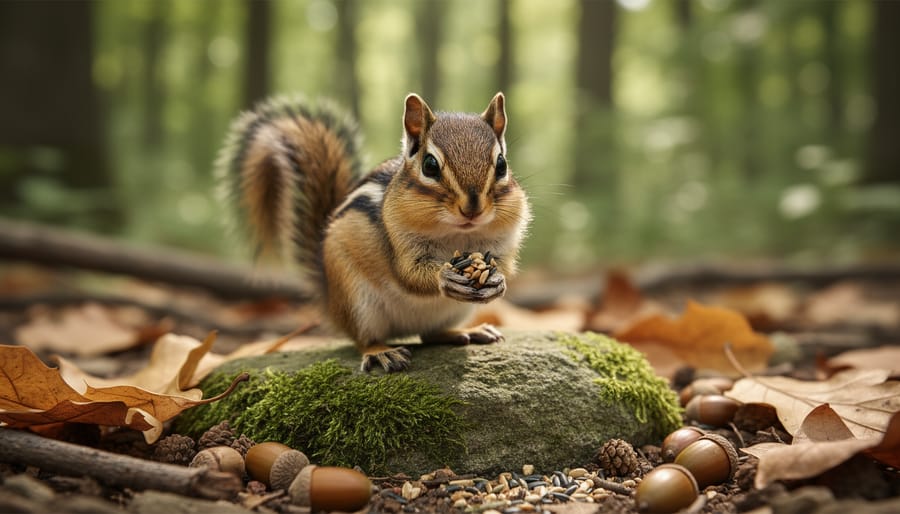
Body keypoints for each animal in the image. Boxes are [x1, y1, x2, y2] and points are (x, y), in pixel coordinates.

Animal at [216, 92, 531, 372]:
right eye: (430, 165)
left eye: (501, 164)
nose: (472, 209)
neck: (459, 234)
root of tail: (330, 301)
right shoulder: (399, 240)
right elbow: (408, 274)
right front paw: (445, 276)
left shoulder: (503, 242)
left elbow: (505, 265)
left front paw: (497, 281)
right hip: (357, 302)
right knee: (363, 340)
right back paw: (381, 352)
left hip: (454, 311)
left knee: (429, 334)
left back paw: (468, 332)